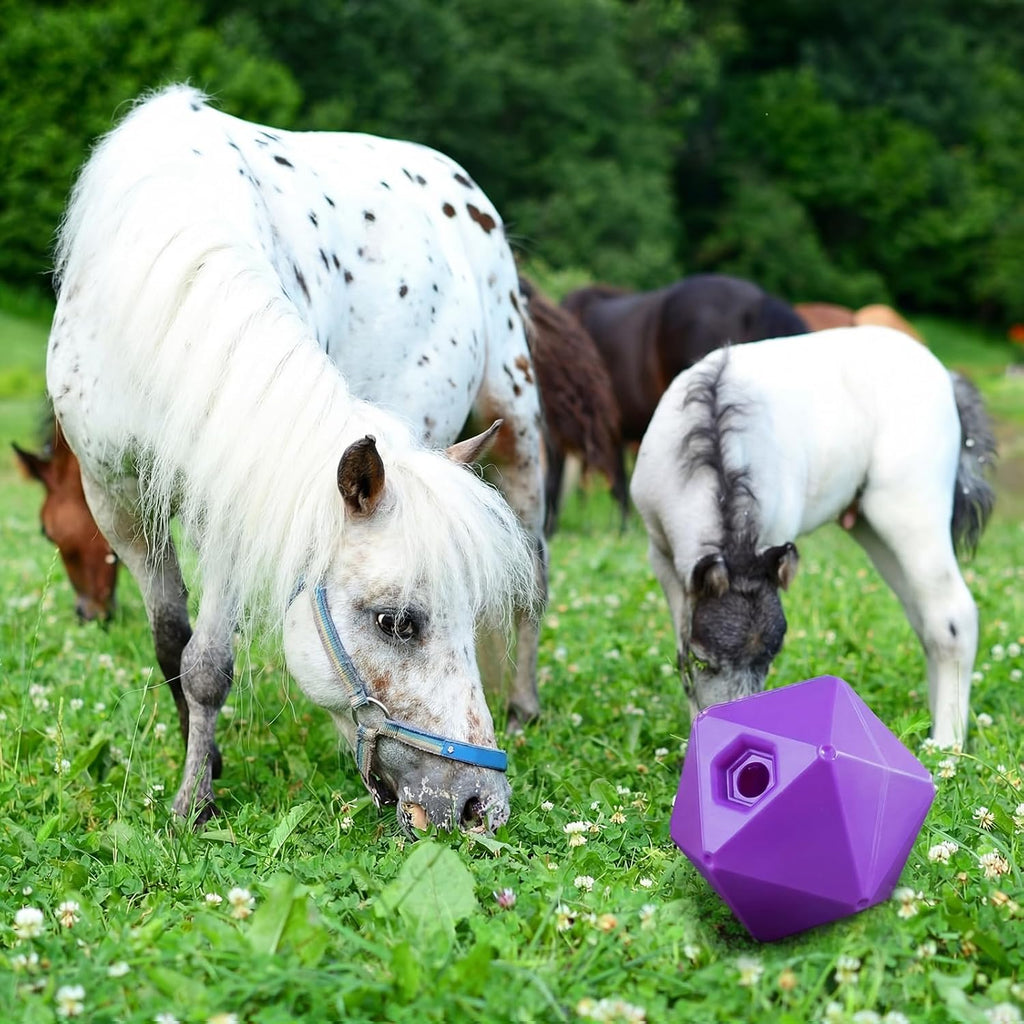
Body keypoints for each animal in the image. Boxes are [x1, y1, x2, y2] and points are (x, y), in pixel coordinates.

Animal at [47, 85, 547, 835]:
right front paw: (202, 772)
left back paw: (523, 706)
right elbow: (172, 646)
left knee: (535, 581)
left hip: (518, 428)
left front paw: (195, 800)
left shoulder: (233, 504)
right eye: (396, 622)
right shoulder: (119, 507)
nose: (480, 805)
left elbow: (208, 663)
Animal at [630, 325, 995, 748]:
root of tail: (948, 379)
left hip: (911, 510)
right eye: (707, 659)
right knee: (925, 620)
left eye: (770, 659)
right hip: (873, 527)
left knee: (951, 616)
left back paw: (948, 744)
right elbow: (681, 657)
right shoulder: (661, 554)